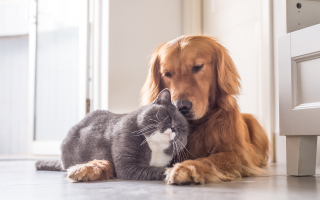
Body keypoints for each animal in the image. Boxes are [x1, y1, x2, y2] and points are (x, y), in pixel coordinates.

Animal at [36, 88, 189, 180]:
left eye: (182, 129)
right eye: (168, 116)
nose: (173, 129)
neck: (155, 148)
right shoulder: (128, 165)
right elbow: (157, 170)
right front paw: (174, 172)